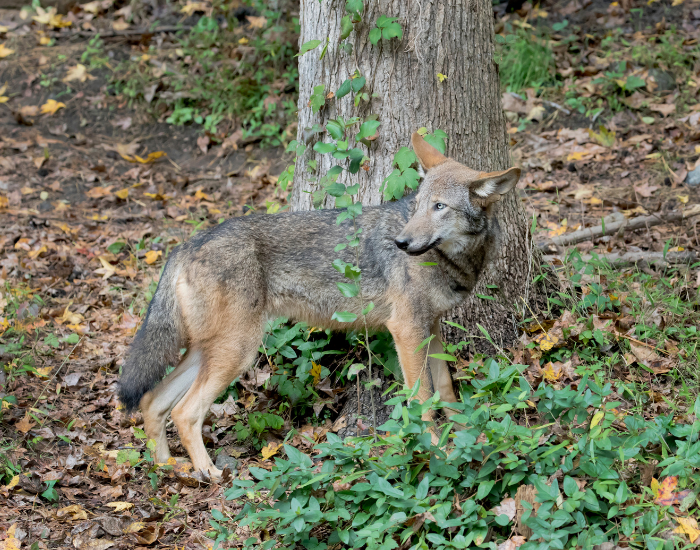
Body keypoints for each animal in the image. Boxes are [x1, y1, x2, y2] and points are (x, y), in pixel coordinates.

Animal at [118, 132, 520, 479]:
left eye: (440, 207)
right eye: (418, 206)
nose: (401, 242)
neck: (454, 261)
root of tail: (186, 245)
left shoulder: (431, 328)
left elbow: (446, 389)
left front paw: (464, 433)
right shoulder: (406, 331)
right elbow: (421, 400)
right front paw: (435, 449)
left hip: (210, 351)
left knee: (152, 402)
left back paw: (168, 469)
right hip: (238, 352)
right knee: (185, 412)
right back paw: (209, 474)